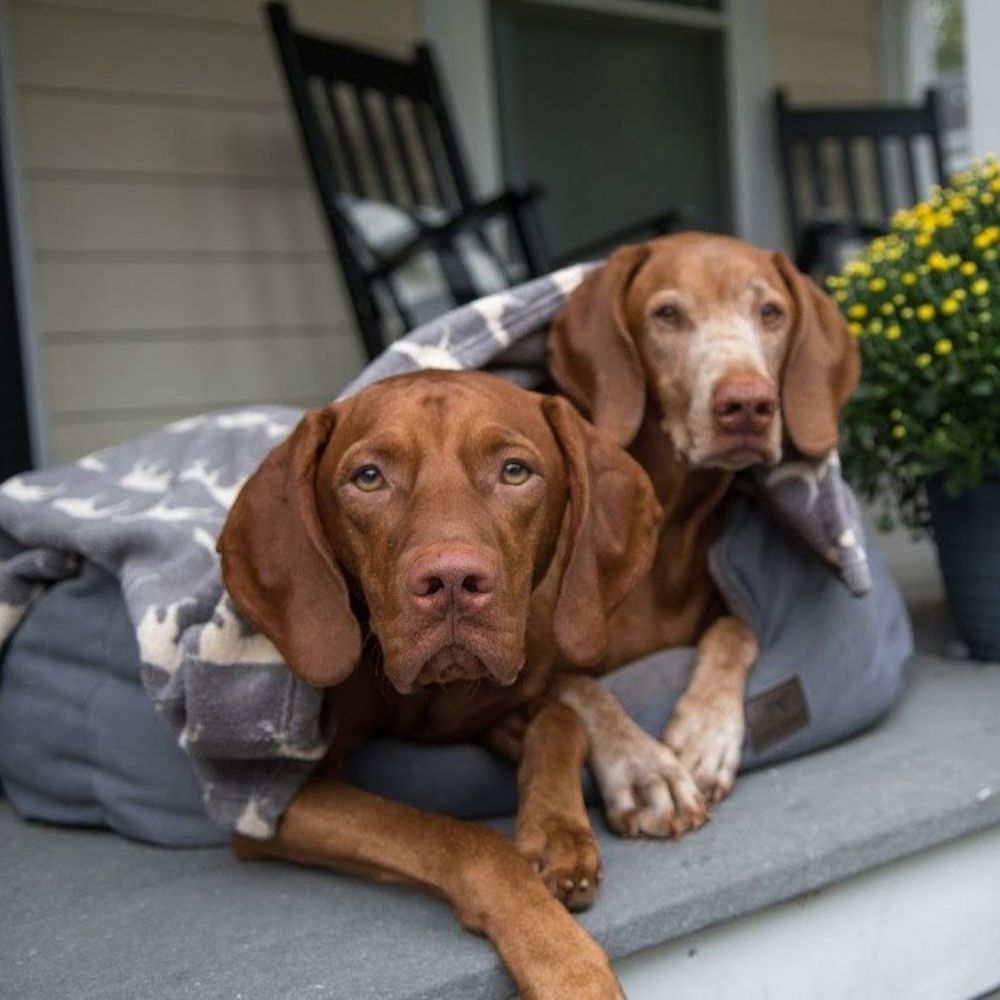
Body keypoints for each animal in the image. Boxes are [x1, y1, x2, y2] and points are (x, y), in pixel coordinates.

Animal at [218, 372, 664, 996]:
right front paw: (564, 960)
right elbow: (458, 837)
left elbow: (561, 718)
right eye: (368, 477)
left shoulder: (496, 708)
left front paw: (556, 832)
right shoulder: (267, 803)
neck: (434, 694)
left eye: (514, 471)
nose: (452, 580)